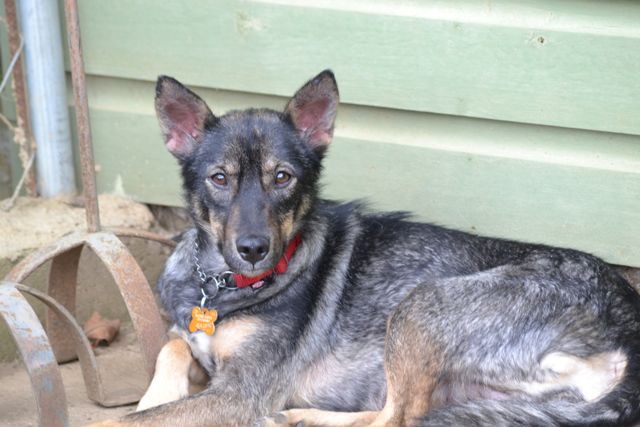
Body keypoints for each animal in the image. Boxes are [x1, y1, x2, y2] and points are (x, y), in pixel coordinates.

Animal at [94, 70, 640, 426]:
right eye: (220, 179)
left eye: (283, 178)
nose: (252, 248)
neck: (220, 283)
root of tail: (628, 325)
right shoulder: (194, 346)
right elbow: (170, 348)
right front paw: (153, 395)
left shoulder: (240, 394)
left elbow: (120, 421)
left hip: (421, 306)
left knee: (397, 418)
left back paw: (298, 418)